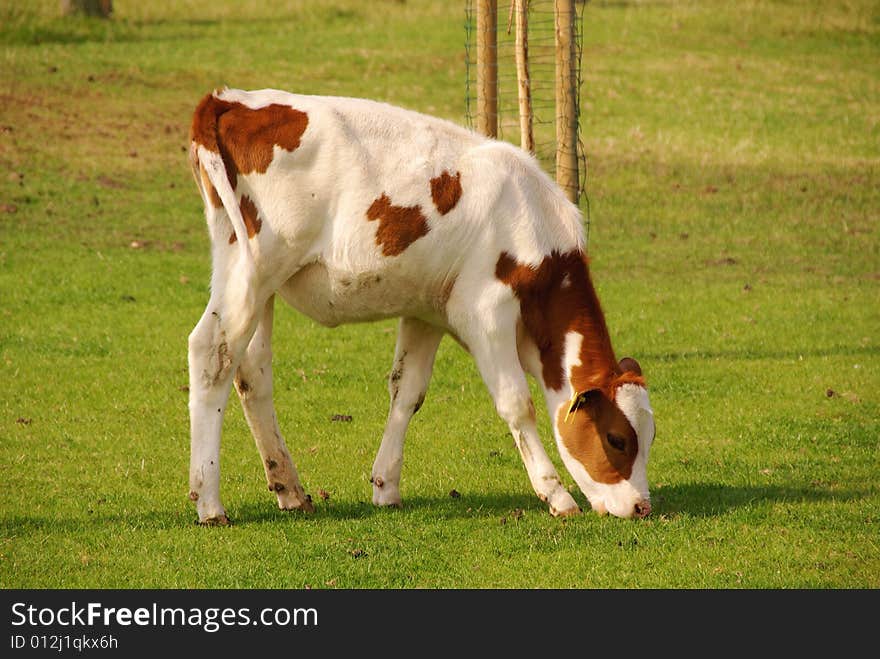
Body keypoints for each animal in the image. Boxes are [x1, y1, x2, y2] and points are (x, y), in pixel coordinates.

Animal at [186, 89, 652, 524]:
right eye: (617, 439)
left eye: (649, 438)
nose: (641, 506)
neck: (529, 221)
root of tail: (230, 101)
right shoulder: (485, 311)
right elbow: (517, 403)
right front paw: (556, 494)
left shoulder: (428, 312)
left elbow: (407, 392)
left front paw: (386, 486)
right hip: (252, 266)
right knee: (212, 354)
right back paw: (209, 502)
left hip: (260, 282)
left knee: (251, 372)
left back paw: (290, 489)